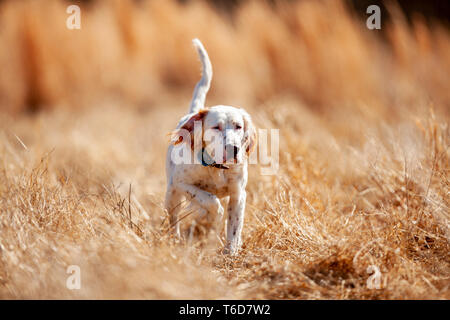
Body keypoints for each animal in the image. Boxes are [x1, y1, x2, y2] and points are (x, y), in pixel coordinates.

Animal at [165, 38, 256, 255]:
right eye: (216, 127)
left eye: (238, 126)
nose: (233, 149)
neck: (217, 168)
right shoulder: (182, 183)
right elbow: (209, 200)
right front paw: (213, 216)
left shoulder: (239, 194)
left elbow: (234, 225)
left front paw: (231, 251)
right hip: (171, 194)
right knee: (174, 219)